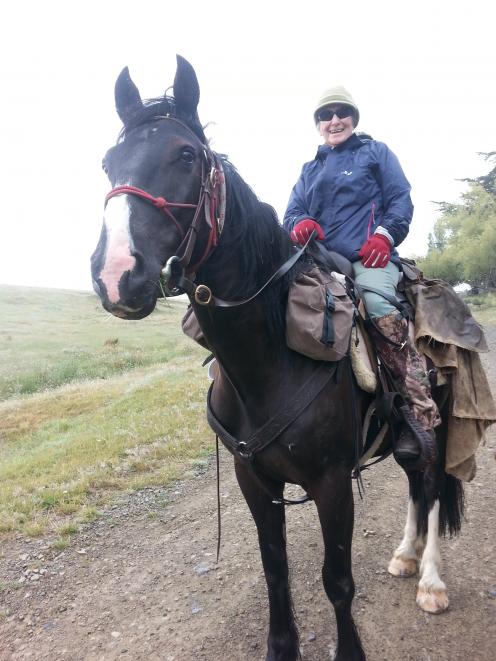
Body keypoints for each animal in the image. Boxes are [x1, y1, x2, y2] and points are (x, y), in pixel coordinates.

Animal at [91, 56, 464, 660]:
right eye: (108, 162)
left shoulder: (332, 483)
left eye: (185, 155)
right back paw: (405, 558)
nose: (117, 273)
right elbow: (275, 569)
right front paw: (281, 646)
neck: (266, 365)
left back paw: (430, 580)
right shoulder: (254, 480)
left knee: (430, 486)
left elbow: (337, 579)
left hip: (438, 420)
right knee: (414, 480)